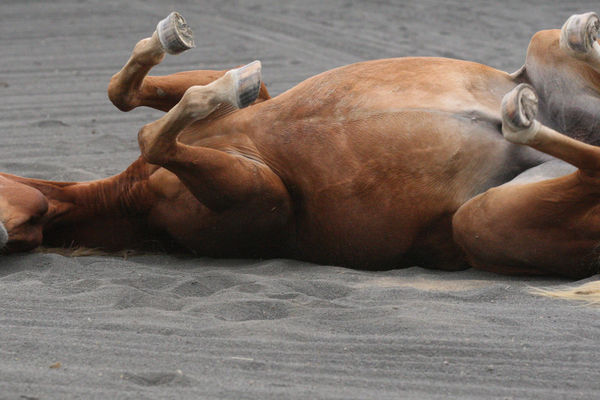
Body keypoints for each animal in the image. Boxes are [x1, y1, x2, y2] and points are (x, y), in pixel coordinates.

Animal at [1, 10, 600, 280]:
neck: (130, 197)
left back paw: (576, 39)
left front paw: (179, 48)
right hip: (481, 220)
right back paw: (522, 116)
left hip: (539, 62)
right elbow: (153, 134)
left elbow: (129, 98)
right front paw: (202, 88)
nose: (5, 234)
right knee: (588, 169)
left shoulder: (253, 115)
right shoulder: (261, 194)